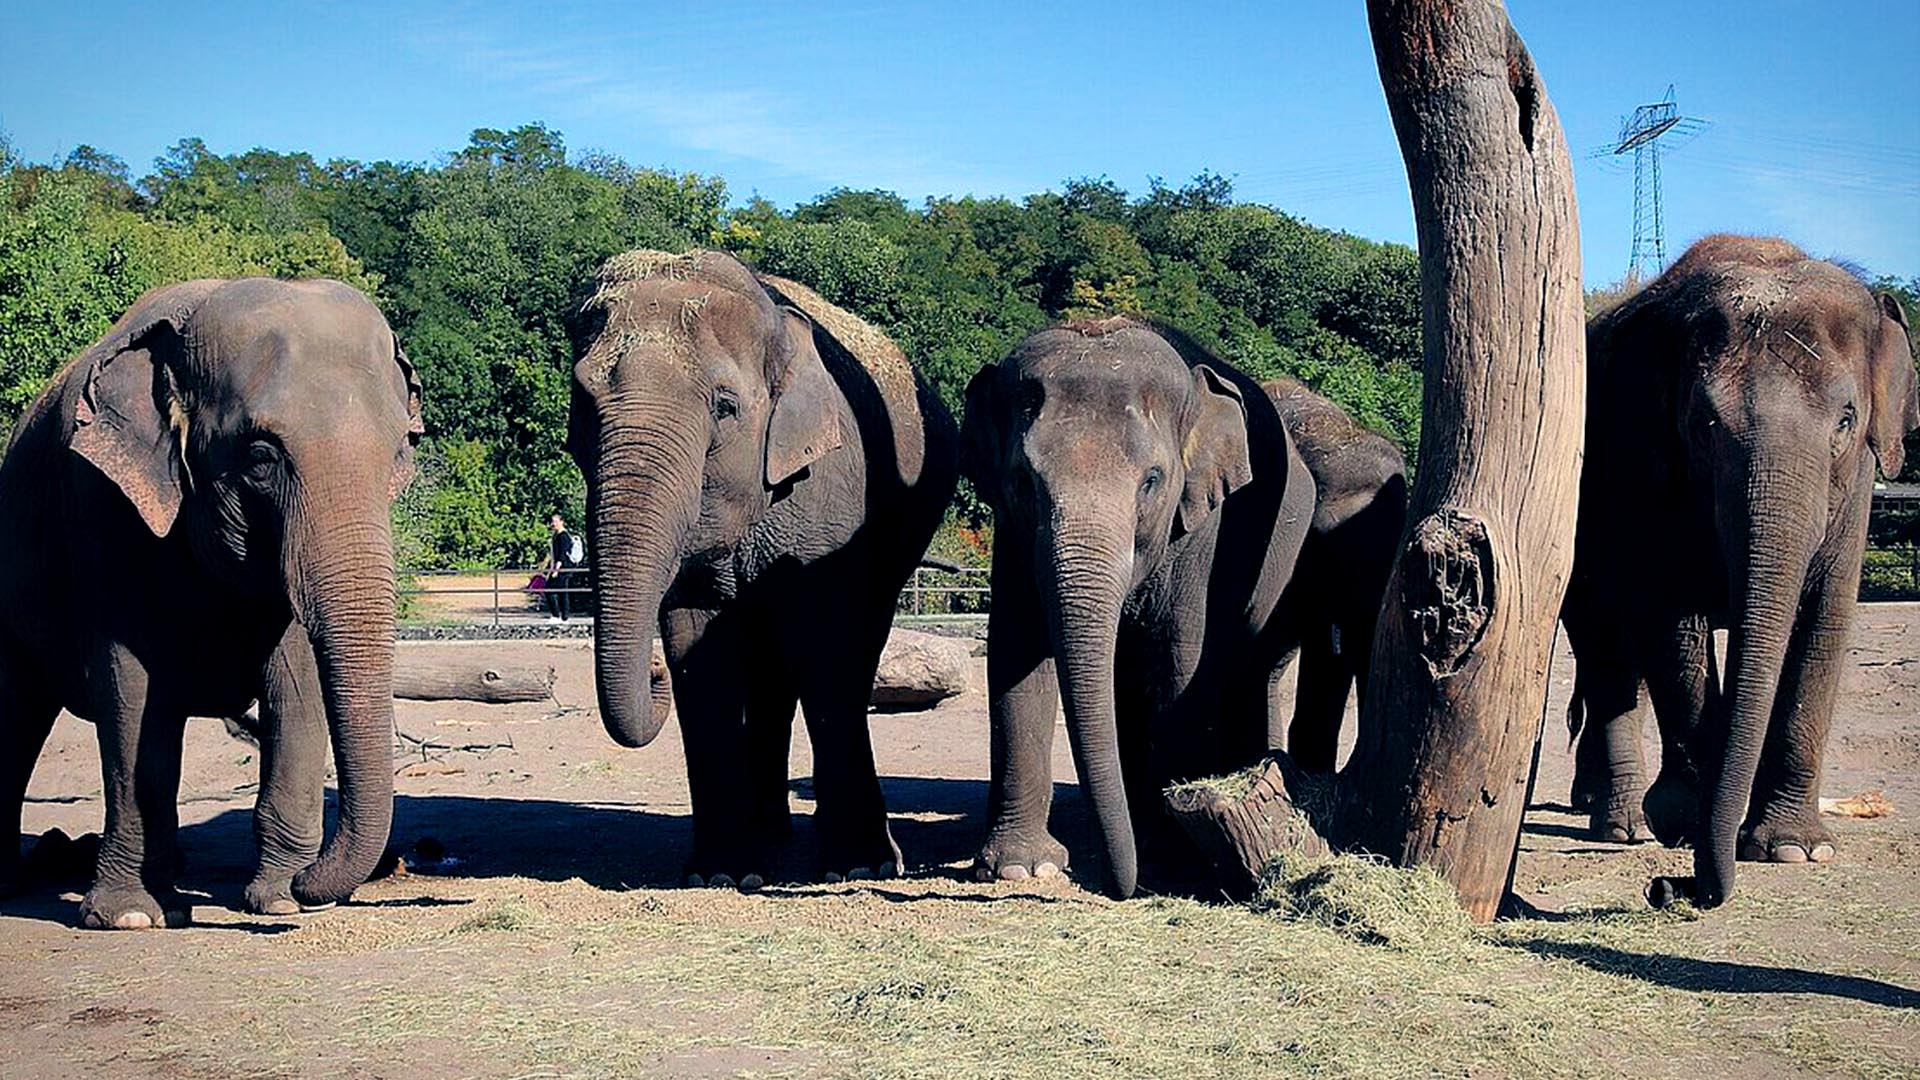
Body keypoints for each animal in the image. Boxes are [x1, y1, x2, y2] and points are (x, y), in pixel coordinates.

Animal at [0, 276, 422, 926]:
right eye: (261, 457)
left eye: (400, 449)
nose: (311, 880)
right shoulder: (99, 506)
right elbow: (130, 687)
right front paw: (132, 917)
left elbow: (297, 682)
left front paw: (279, 900)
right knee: (16, 712)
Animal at [568, 249, 960, 883]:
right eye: (583, 403)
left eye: (725, 408)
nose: (650, 675)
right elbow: (696, 648)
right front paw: (719, 874)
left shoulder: (829, 495)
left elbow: (825, 648)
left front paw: (860, 867)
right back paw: (769, 834)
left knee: (847, 652)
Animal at [960, 317, 1320, 891]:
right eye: (1023, 481)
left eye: (1152, 481)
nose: (1116, 886)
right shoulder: (1012, 534)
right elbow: (1017, 651)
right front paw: (1020, 868)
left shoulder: (1205, 527)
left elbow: (1180, 659)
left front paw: (1173, 856)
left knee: (1250, 667)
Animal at [1566, 235, 1912, 907]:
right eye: (1703, 424)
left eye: (1846, 420)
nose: (1666, 889)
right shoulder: (1641, 460)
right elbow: (1672, 623)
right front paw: (1685, 824)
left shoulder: (1857, 488)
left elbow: (1823, 620)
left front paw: (1793, 849)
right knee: (1605, 649)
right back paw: (1624, 825)